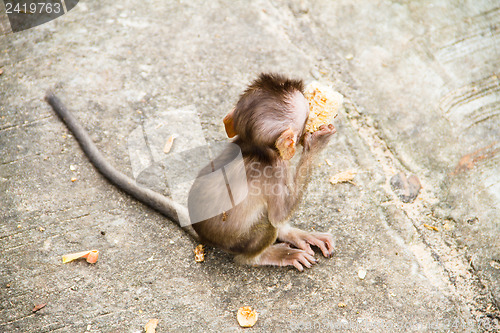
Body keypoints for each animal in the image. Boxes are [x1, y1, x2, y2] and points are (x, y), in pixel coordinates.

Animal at [47, 72, 336, 270]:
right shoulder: (274, 170)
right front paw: (317, 144)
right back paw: (268, 255)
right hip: (241, 241)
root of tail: (202, 233)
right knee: (263, 230)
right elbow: (278, 213)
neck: (254, 147)